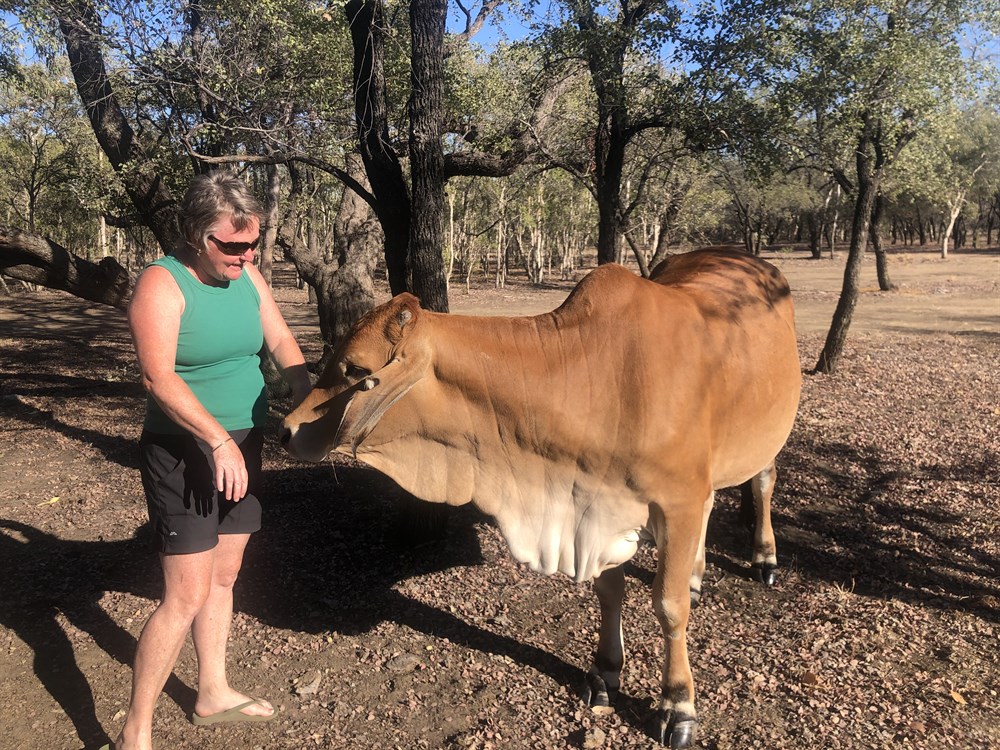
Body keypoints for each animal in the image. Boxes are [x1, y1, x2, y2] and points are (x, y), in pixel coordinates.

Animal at [279, 248, 801, 748]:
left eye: (356, 369)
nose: (286, 430)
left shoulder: (679, 502)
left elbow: (669, 607)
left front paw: (677, 706)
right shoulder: (598, 504)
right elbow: (609, 591)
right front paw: (605, 671)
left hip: (768, 435)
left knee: (763, 480)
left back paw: (764, 558)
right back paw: (695, 571)